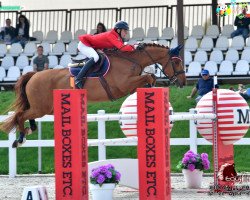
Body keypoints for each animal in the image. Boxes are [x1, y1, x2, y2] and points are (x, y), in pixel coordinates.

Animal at [0, 43, 186, 147]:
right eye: (176, 62)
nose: (183, 82)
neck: (132, 60)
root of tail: (34, 75)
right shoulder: (123, 85)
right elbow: (149, 76)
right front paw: (151, 82)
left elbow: (148, 78)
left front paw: (149, 87)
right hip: (41, 107)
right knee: (20, 115)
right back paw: (21, 138)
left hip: (45, 108)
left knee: (26, 115)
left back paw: (29, 130)